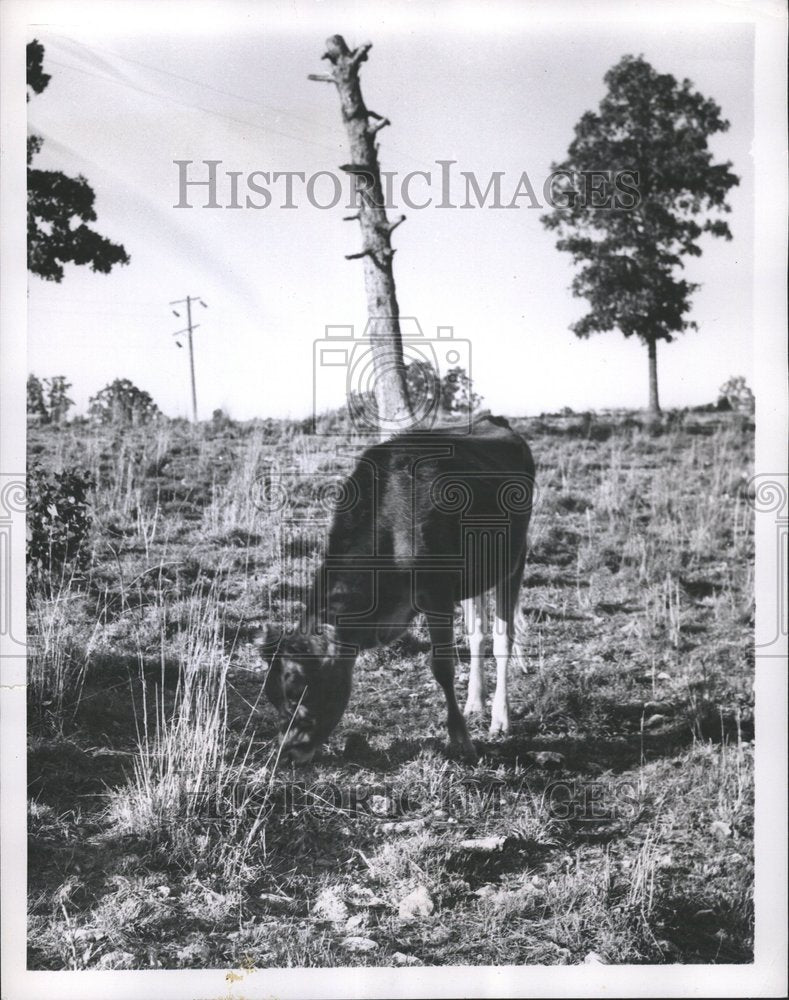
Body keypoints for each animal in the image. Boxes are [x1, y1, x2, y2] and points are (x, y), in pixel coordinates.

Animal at [258, 410, 536, 760]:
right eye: (272, 696)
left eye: (299, 692)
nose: (287, 753)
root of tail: (492, 419)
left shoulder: (437, 595)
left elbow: (442, 667)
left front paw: (461, 740)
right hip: (478, 574)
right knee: (477, 635)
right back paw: (475, 702)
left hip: (515, 560)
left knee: (502, 641)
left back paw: (500, 717)